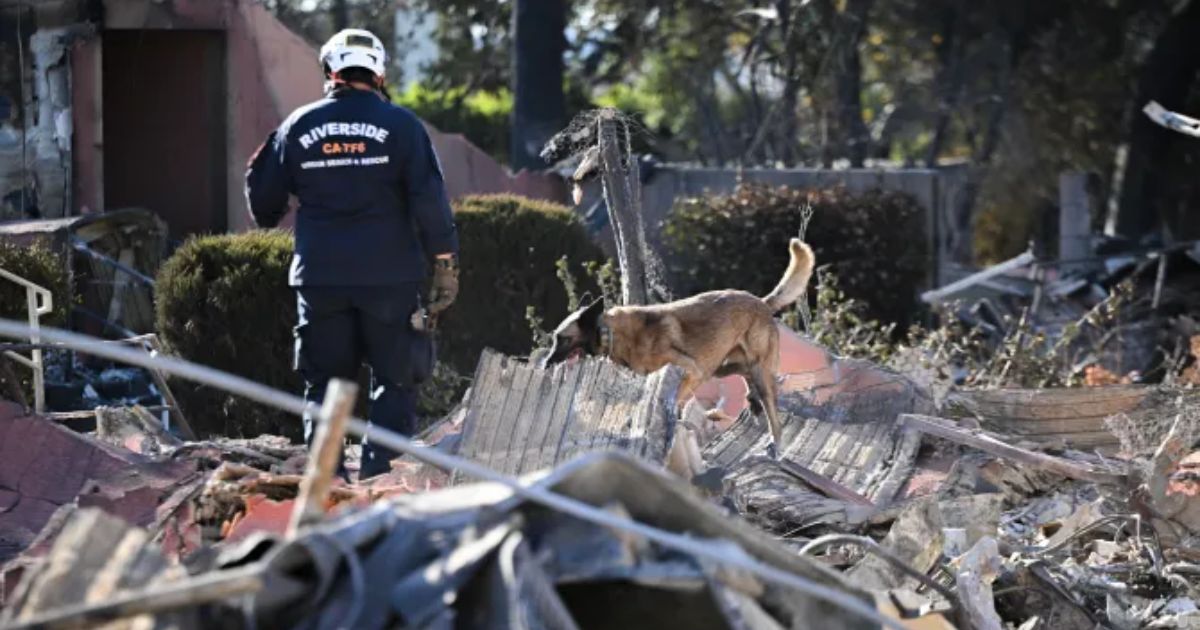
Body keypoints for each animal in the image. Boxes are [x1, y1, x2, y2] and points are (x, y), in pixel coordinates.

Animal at [544, 238, 816, 448]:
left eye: (562, 339)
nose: (545, 365)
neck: (609, 331)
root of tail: (761, 302)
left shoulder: (691, 371)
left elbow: (674, 401)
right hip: (723, 367)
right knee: (747, 379)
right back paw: (752, 404)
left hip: (753, 372)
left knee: (775, 420)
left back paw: (773, 445)